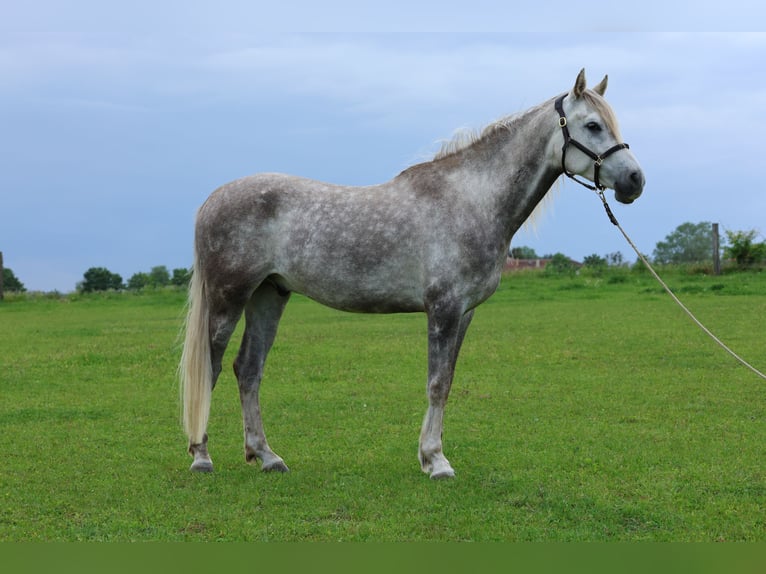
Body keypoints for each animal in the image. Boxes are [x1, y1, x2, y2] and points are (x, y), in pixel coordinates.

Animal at [179, 69, 645, 478]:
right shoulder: (443, 308)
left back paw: (266, 456)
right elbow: (436, 383)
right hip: (229, 297)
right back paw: (201, 457)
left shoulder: (465, 313)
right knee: (211, 367)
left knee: (248, 369)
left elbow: (448, 382)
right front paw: (436, 462)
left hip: (269, 295)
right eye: (592, 125)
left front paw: (429, 455)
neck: (471, 199)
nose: (635, 180)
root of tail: (211, 200)